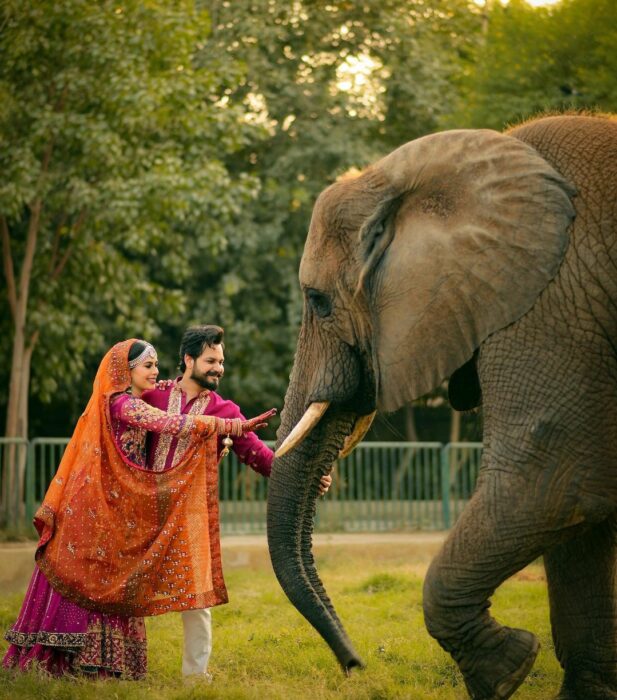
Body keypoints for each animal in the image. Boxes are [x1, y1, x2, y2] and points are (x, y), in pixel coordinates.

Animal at [266, 116, 616, 700]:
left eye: (317, 300)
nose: (355, 665)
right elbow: (577, 514)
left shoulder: (549, 298)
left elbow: (550, 484)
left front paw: (507, 670)